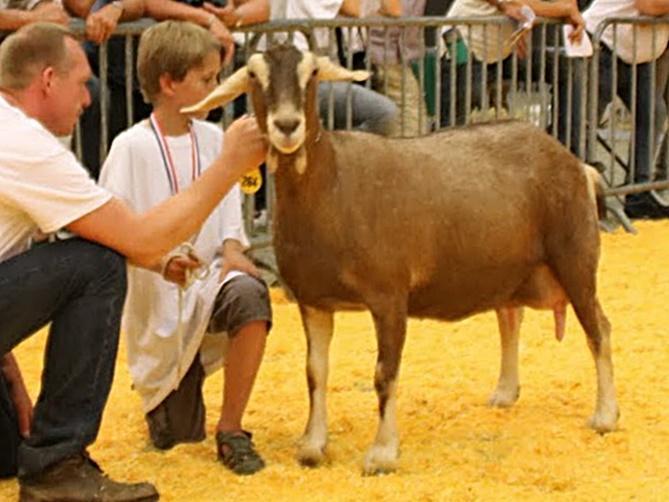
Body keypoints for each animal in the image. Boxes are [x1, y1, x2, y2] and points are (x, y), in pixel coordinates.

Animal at [185, 43, 620, 474]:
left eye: (312, 74)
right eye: (254, 76)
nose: (288, 125)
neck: (332, 185)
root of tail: (578, 164)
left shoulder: (389, 296)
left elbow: (385, 373)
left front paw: (382, 453)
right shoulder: (313, 300)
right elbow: (315, 373)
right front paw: (312, 445)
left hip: (575, 258)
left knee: (598, 328)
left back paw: (605, 416)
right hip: (510, 269)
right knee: (511, 317)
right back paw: (505, 391)